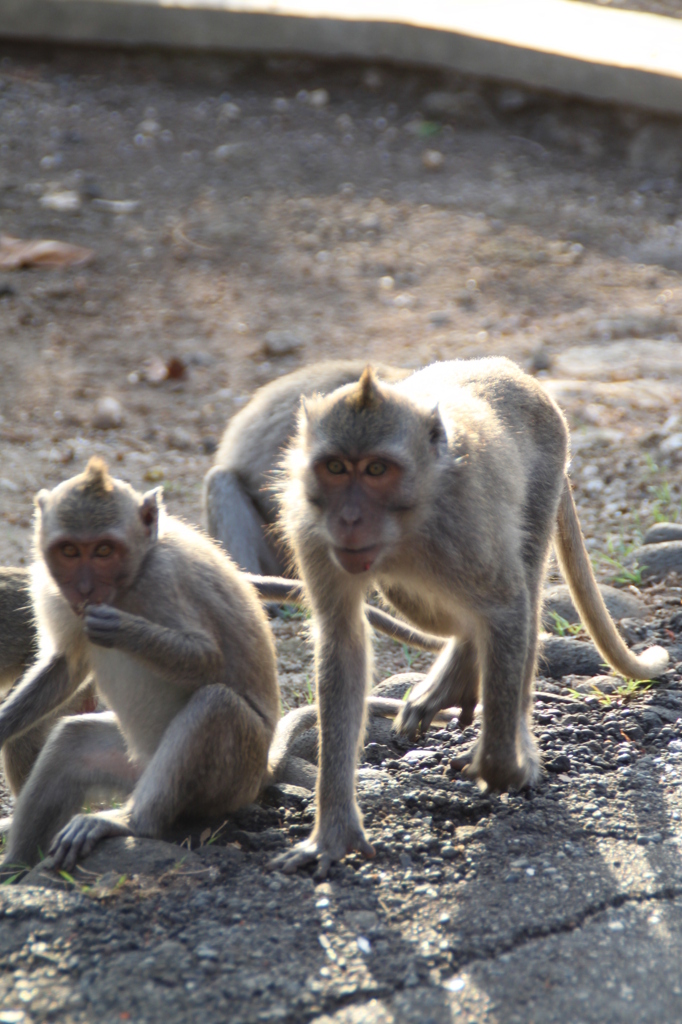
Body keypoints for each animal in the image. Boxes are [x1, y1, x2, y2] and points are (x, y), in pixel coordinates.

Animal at [0, 460, 278, 868]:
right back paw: (16, 868)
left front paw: (119, 627)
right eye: (69, 550)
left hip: (235, 779)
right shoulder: (57, 593)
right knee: (71, 741)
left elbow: (209, 659)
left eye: (104, 550)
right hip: (131, 767)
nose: (84, 590)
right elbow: (66, 666)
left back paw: (131, 822)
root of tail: (265, 773)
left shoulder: (162, 582)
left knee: (217, 705)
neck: (135, 571)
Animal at [268, 358, 667, 872]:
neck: (410, 516)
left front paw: (502, 764)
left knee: (524, 584)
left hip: (545, 472)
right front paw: (333, 832)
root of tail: (512, 370)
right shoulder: (313, 532)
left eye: (376, 469)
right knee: (420, 600)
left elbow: (507, 607)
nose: (350, 519)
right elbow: (342, 640)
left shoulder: (464, 526)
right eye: (335, 468)